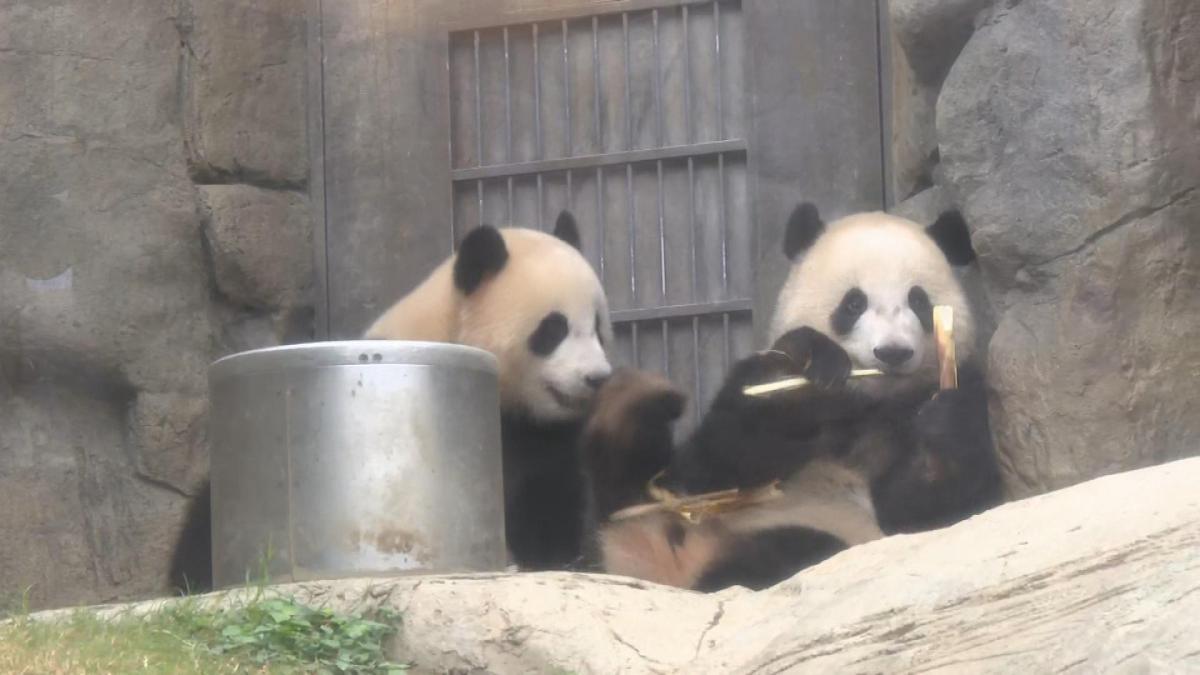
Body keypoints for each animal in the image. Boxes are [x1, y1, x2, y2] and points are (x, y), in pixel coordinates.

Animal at [364, 211, 613, 571]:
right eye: (554, 329)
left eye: (597, 327)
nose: (597, 377)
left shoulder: (542, 433)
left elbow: (549, 488)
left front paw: (553, 557)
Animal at [579, 202, 1003, 592]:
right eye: (854, 303)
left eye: (918, 301)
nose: (893, 352)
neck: (871, 404)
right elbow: (713, 466)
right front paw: (802, 377)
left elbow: (922, 510)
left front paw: (945, 425)